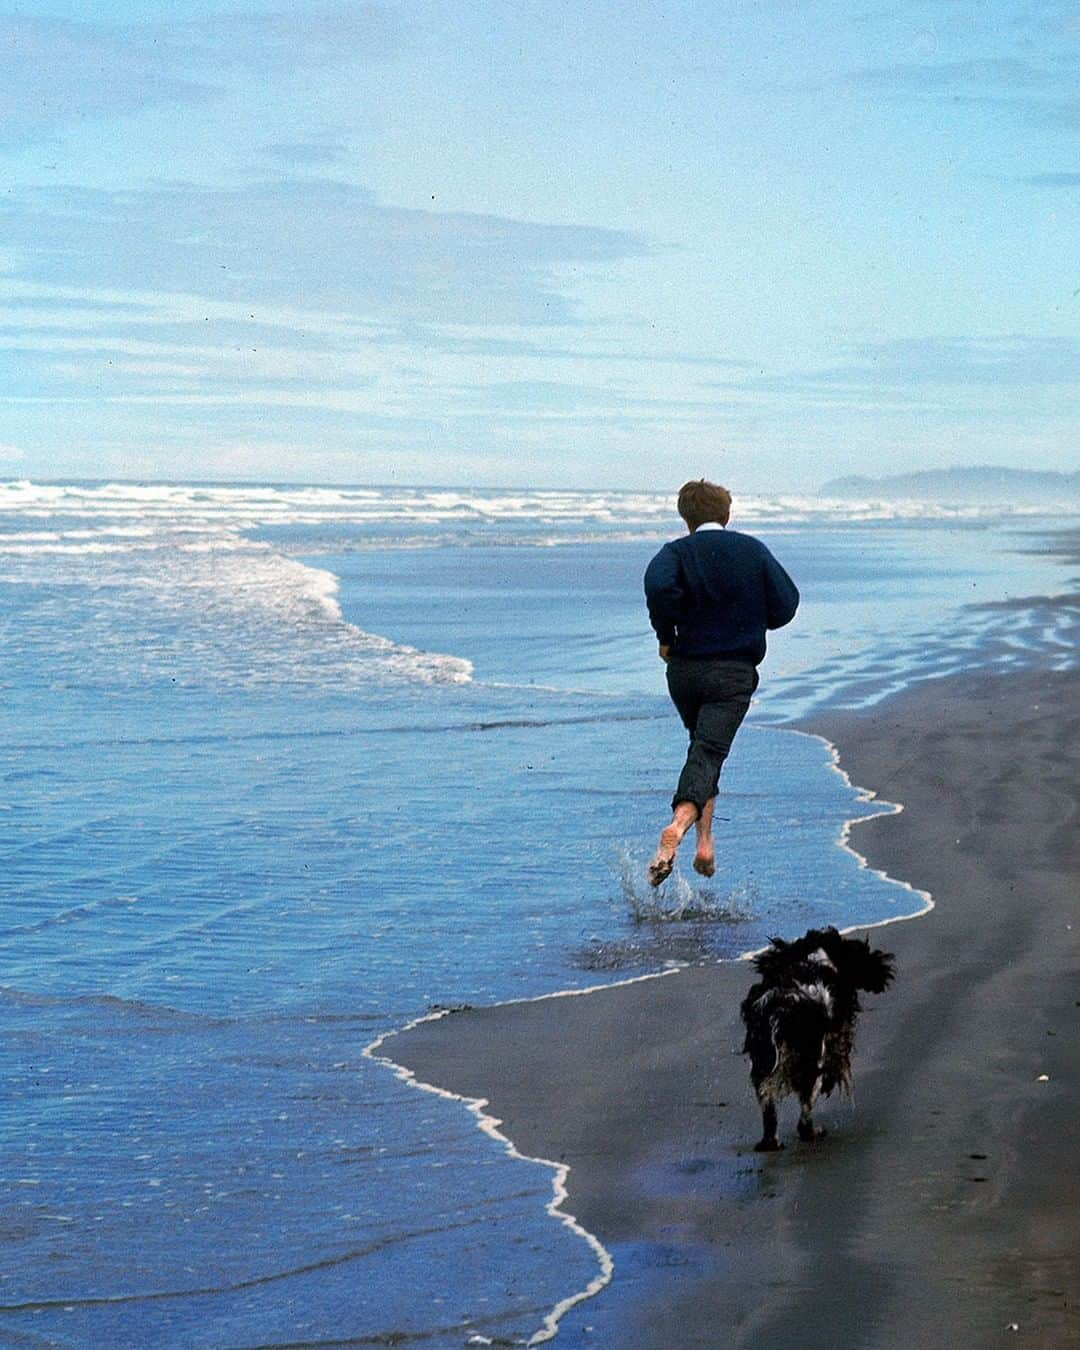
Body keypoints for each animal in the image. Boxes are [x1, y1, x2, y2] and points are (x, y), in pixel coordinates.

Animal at [745, 928, 896, 1150]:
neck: (813, 957)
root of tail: (785, 1004)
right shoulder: (836, 1042)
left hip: (763, 1064)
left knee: (769, 1108)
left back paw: (771, 1142)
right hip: (811, 1064)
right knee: (805, 1112)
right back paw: (812, 1132)